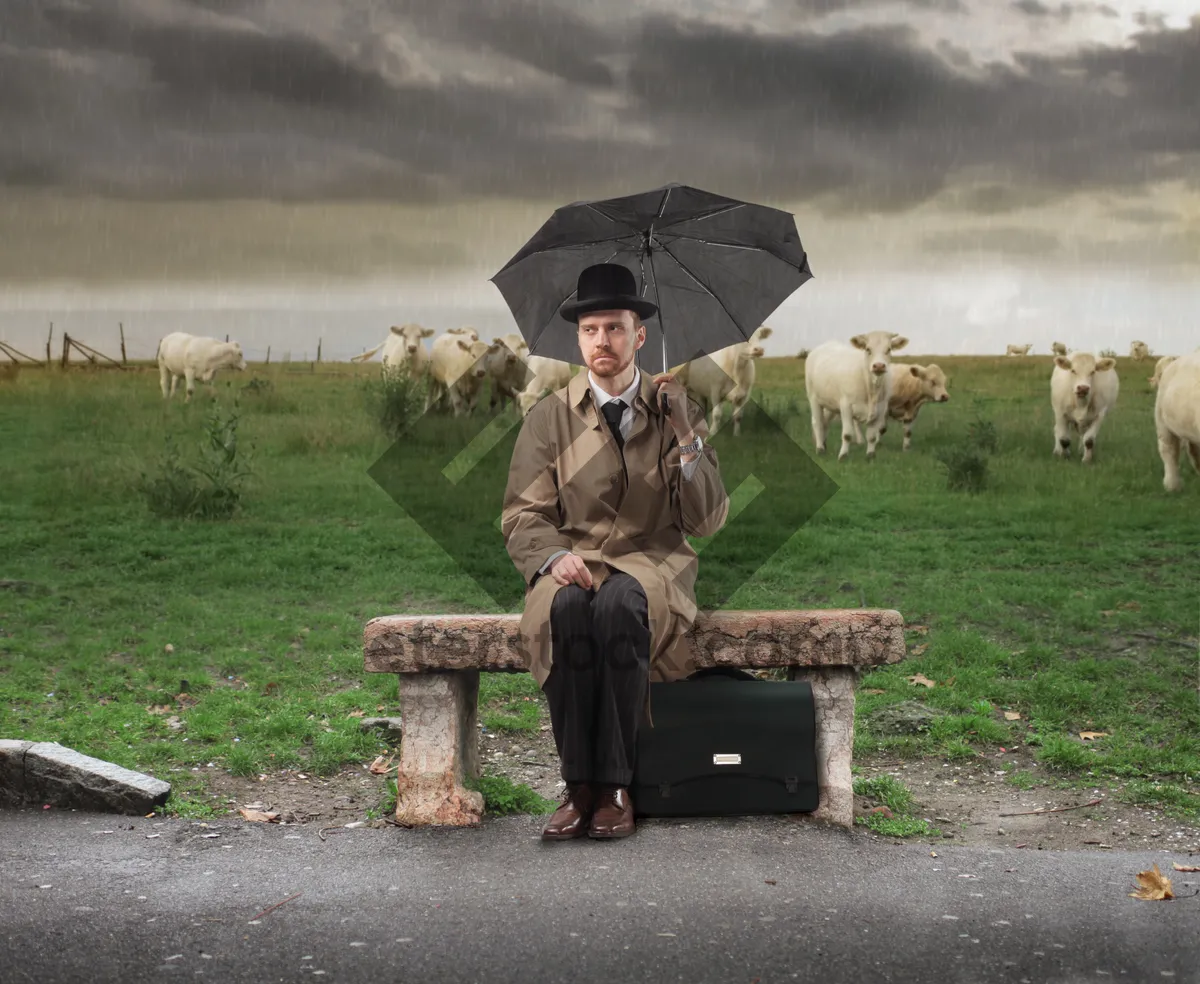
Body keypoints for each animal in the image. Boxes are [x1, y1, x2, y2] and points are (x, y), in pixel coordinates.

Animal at [806, 326, 907, 458]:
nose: (879, 366)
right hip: (813, 398)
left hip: (829, 402)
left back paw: (824, 444)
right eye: (868, 349)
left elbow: (872, 436)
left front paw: (870, 455)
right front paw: (843, 455)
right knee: (817, 422)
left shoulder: (881, 408)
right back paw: (820, 448)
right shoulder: (846, 405)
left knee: (825, 423)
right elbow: (847, 434)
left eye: (889, 349)